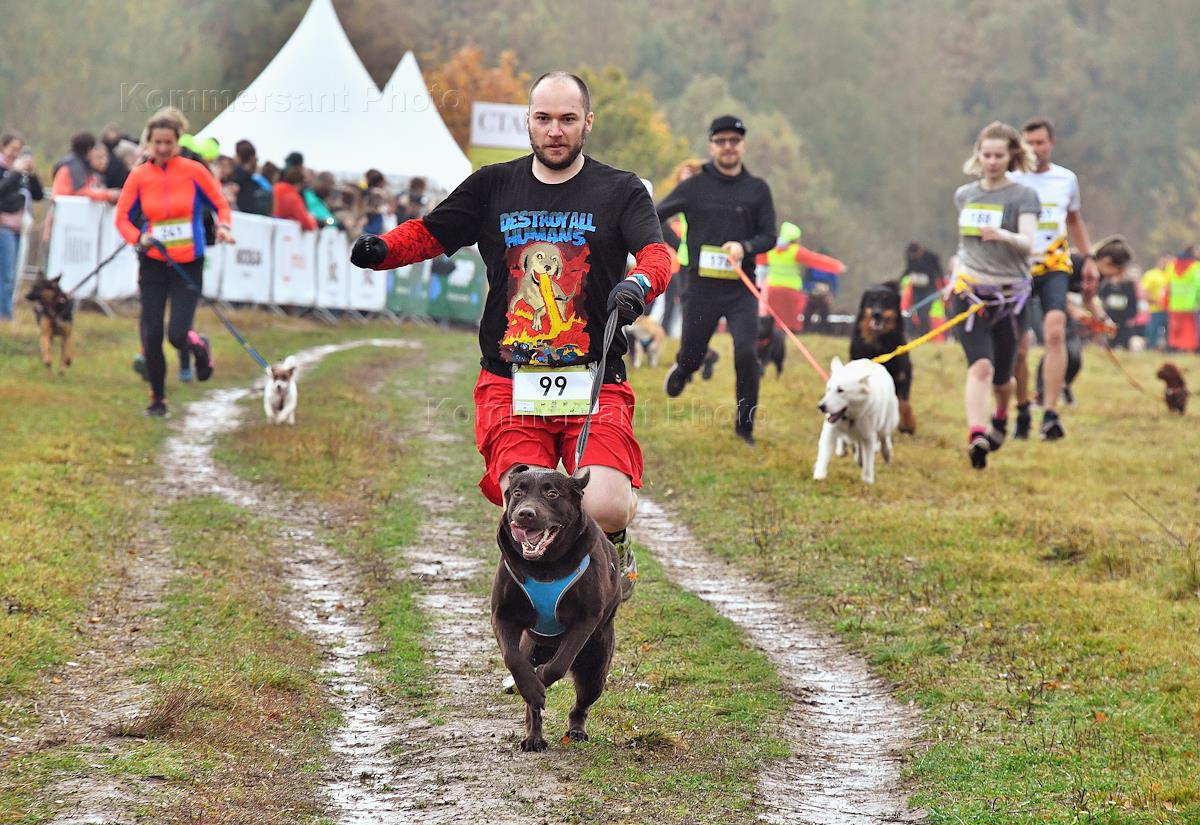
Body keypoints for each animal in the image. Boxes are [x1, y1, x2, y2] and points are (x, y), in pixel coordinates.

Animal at [489, 467, 619, 753]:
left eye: (552, 494)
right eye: (518, 493)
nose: (525, 513)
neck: (544, 567)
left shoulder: (585, 618)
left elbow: (559, 664)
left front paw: (541, 678)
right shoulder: (502, 615)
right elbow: (513, 659)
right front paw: (531, 687)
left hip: (595, 667)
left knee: (582, 702)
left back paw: (576, 729)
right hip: (533, 646)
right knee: (533, 707)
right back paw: (534, 737)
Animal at [816, 354, 902, 484]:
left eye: (840, 390)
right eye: (828, 389)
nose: (821, 407)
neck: (851, 418)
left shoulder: (869, 436)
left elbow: (869, 461)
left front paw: (867, 480)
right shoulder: (830, 432)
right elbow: (823, 455)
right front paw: (819, 476)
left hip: (885, 425)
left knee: (884, 439)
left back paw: (886, 454)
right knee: (858, 444)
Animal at [849, 281, 912, 431]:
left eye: (887, 301)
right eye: (871, 300)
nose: (876, 314)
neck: (879, 344)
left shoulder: (903, 375)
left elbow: (905, 403)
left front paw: (908, 424)